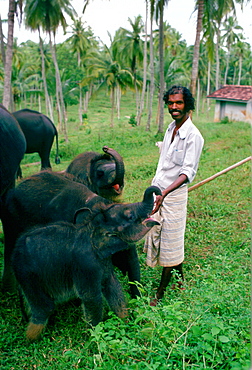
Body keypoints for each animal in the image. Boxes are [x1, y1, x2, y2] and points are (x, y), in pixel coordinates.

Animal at [12, 208, 158, 342]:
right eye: (130, 219)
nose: (154, 221)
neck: (90, 229)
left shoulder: (103, 261)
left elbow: (112, 285)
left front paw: (124, 322)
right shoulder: (85, 264)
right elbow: (91, 296)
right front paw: (97, 336)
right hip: (27, 275)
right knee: (44, 307)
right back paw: (30, 339)